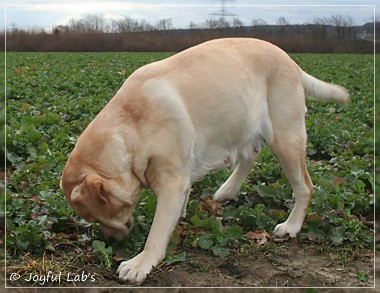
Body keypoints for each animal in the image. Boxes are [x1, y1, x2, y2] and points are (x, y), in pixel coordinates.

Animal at [60, 37, 348, 282]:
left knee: (305, 187)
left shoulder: (172, 182)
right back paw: (226, 191)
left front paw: (141, 263)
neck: (130, 127)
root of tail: (291, 62)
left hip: (285, 139)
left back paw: (291, 226)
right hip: (244, 124)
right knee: (250, 155)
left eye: (101, 215)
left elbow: (156, 232)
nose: (110, 241)